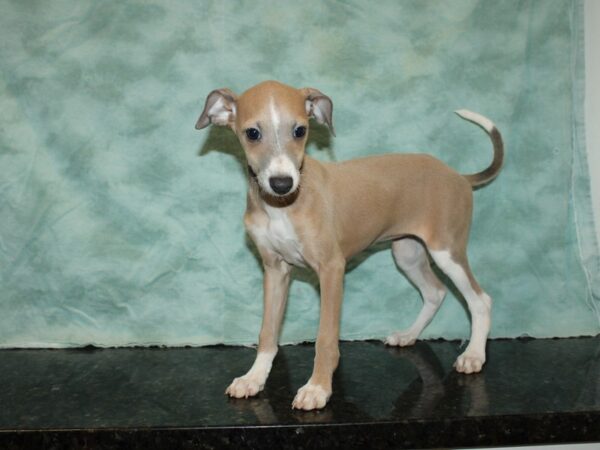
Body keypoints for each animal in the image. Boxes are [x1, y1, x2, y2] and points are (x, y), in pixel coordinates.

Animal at [196, 80, 502, 412]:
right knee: (435, 292)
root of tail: (458, 176)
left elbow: (326, 337)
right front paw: (254, 378)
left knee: (480, 300)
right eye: (252, 133)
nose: (282, 183)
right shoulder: (275, 270)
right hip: (407, 252)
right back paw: (409, 335)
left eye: (300, 130)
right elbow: (267, 332)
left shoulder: (331, 268)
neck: (282, 207)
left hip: (447, 251)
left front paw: (317, 387)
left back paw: (474, 355)